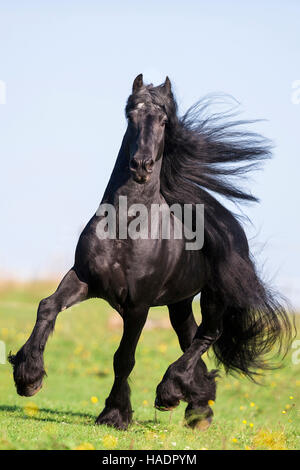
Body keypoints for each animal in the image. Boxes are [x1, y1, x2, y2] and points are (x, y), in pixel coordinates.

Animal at [8, 75, 290, 432]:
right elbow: (47, 306)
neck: (127, 227)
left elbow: (124, 357)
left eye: (164, 121)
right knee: (189, 337)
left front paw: (114, 414)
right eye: (131, 116)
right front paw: (28, 377)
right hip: (179, 302)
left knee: (208, 334)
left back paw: (171, 394)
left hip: (214, 295)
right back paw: (198, 406)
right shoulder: (84, 279)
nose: (141, 165)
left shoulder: (138, 305)